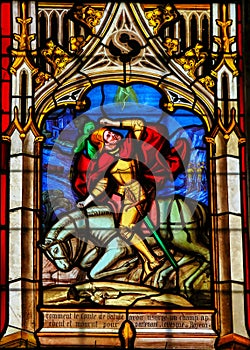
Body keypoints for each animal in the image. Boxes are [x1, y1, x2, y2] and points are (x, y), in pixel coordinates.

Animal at [40, 197, 209, 296]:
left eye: (55, 249)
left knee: (205, 254)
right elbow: (85, 264)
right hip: (179, 240)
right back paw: (164, 277)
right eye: (49, 256)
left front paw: (129, 265)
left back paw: (184, 283)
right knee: (191, 256)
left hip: (181, 238)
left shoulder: (116, 250)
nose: (64, 267)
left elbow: (92, 274)